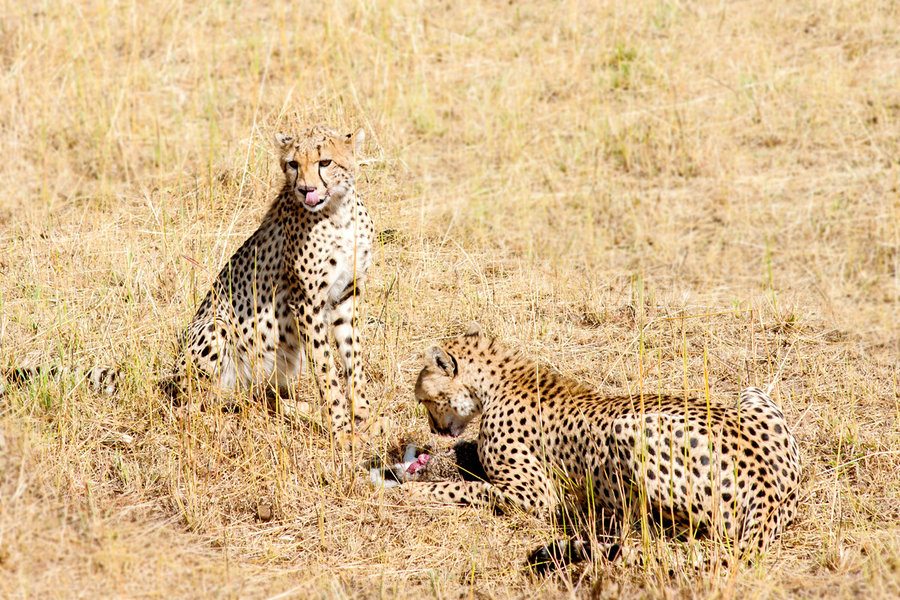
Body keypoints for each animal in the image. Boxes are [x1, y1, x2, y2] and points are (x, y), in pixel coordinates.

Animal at [3, 126, 372, 434]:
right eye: (293, 164)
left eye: (325, 162)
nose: (305, 189)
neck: (337, 213)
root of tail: (171, 375)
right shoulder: (306, 302)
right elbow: (327, 369)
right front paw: (341, 428)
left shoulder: (345, 296)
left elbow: (353, 359)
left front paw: (365, 416)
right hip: (216, 327)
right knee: (198, 403)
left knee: (259, 396)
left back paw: (294, 407)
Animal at [404, 326, 800, 568]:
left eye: (424, 400)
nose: (434, 429)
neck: (497, 384)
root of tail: (774, 487)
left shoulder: (535, 495)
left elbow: (469, 488)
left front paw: (409, 488)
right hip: (751, 392)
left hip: (629, 430)